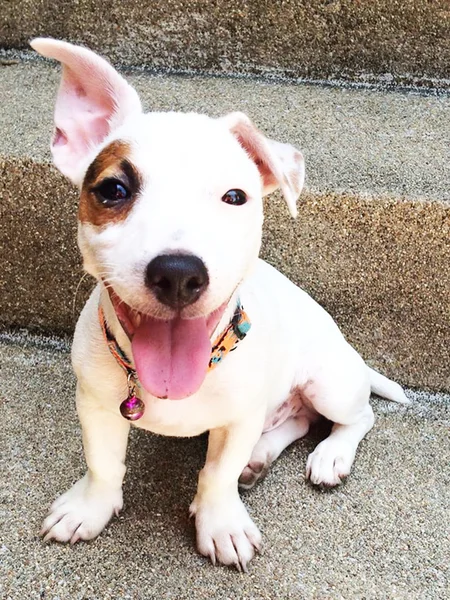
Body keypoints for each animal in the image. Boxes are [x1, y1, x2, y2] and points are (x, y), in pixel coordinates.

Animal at [32, 38, 408, 572]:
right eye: (113, 190)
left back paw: (330, 455)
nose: (178, 272)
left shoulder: (239, 417)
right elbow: (103, 463)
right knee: (297, 420)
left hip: (330, 382)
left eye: (235, 196)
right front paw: (89, 508)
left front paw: (221, 525)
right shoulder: (96, 403)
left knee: (356, 419)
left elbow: (216, 475)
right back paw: (261, 456)